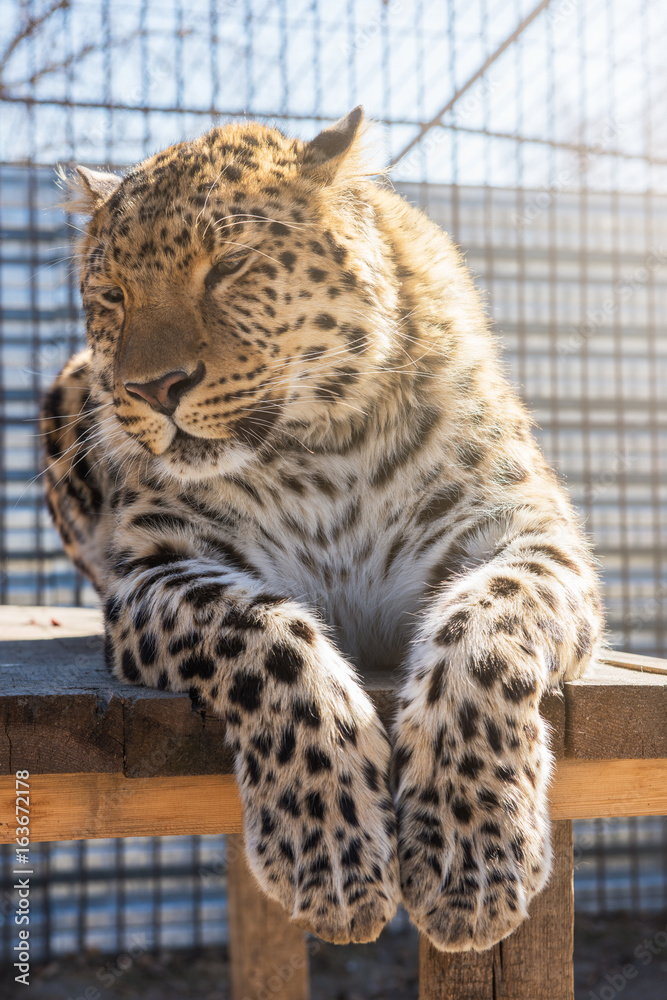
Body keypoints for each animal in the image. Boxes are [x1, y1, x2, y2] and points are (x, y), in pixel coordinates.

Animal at [41, 106, 604, 953]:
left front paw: (469, 855)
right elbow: (265, 637)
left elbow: (483, 630)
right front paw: (330, 857)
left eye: (229, 266)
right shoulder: (159, 567)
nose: (151, 389)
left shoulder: (527, 534)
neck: (320, 446)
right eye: (111, 293)